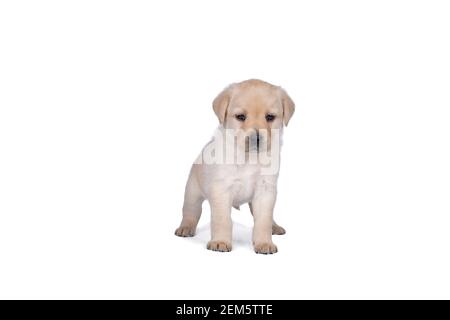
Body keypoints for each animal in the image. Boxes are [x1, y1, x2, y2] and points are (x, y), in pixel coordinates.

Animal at [173, 79, 296, 254]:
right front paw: (220, 241)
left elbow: (263, 221)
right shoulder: (221, 190)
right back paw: (185, 228)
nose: (256, 138)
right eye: (240, 117)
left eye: (270, 117)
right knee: (191, 211)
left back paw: (275, 227)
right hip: (192, 192)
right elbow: (222, 219)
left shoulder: (265, 190)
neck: (248, 158)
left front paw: (264, 243)